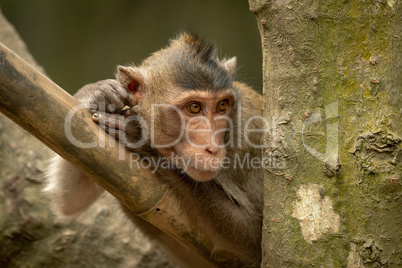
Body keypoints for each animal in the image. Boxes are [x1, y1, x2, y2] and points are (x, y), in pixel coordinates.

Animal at [44, 34, 266, 268]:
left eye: (222, 106)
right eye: (194, 107)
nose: (213, 147)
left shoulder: (252, 140)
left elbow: (256, 244)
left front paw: (139, 138)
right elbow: (70, 200)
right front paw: (94, 93)